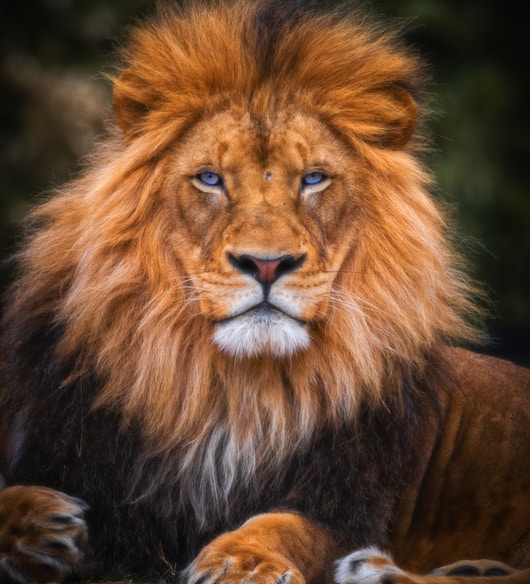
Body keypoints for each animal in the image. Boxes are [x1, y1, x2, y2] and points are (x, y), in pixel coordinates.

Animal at [1, 1, 528, 584]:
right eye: (210, 178)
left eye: (314, 179)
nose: (267, 263)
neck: (232, 392)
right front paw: (37, 525)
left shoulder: (347, 502)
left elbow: (286, 525)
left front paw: (241, 561)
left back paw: (382, 570)